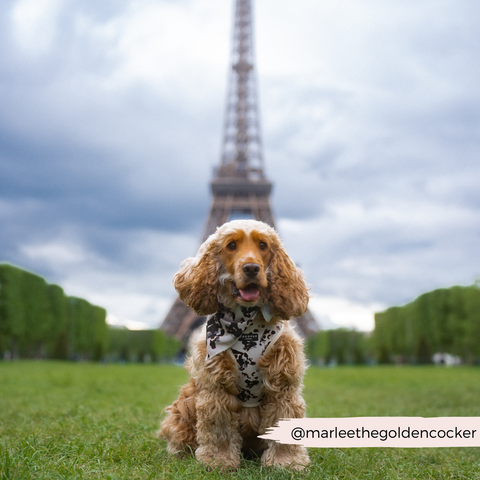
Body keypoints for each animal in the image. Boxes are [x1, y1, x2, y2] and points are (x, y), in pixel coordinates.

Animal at [159, 219, 310, 470]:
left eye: (263, 245)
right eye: (231, 245)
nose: (251, 268)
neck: (246, 323)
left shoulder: (283, 384)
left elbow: (284, 421)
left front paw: (284, 463)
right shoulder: (216, 385)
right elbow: (218, 427)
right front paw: (218, 461)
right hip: (184, 405)